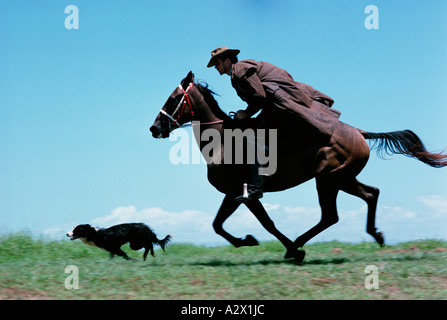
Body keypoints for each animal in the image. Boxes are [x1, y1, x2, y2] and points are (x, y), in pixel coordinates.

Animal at [151, 72, 447, 262]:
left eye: (172, 99)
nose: (154, 128)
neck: (223, 140)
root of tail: (359, 132)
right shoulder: (234, 194)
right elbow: (219, 224)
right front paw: (248, 240)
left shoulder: (243, 193)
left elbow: (260, 224)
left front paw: (257, 242)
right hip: (342, 179)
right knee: (370, 194)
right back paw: (376, 235)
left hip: (327, 179)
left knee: (331, 215)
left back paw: (298, 245)